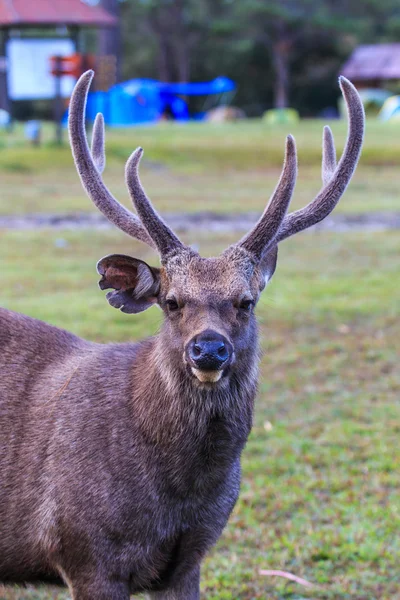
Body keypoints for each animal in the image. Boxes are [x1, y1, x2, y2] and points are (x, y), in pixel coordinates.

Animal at [0, 71, 362, 600]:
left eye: (246, 301)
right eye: (171, 301)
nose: (208, 348)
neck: (178, 498)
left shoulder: (190, 558)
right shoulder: (85, 553)